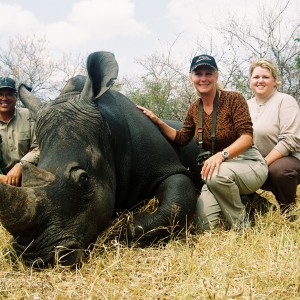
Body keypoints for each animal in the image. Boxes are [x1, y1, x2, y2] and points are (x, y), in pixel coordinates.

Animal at [0, 51, 203, 268]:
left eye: (84, 179)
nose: (32, 258)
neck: (108, 129)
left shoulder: (168, 168)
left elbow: (178, 199)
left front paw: (128, 229)